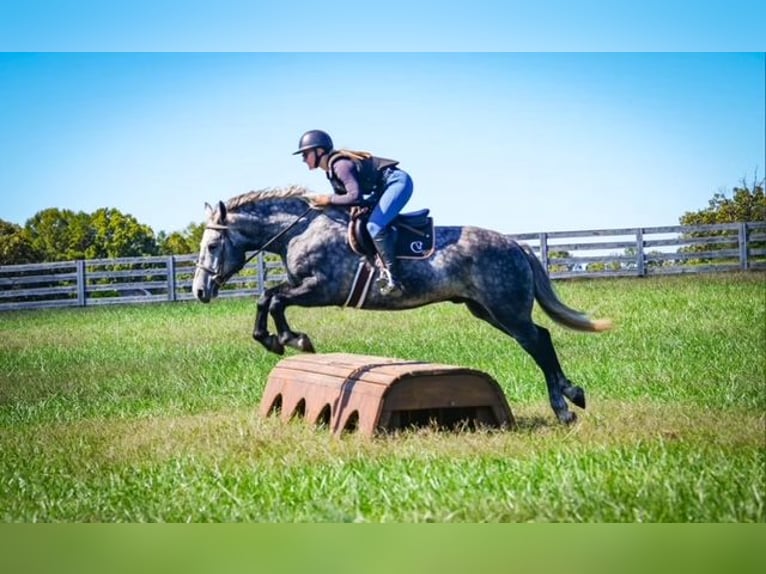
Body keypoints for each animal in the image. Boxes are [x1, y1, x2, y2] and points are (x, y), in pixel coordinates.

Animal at [192, 186, 612, 424]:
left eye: (211, 246)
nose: (199, 291)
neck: (302, 230)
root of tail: (516, 245)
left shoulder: (322, 288)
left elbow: (275, 299)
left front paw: (291, 340)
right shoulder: (304, 286)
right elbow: (269, 299)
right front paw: (278, 340)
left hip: (506, 307)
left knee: (538, 341)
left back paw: (565, 406)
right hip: (488, 310)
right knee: (540, 337)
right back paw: (571, 396)